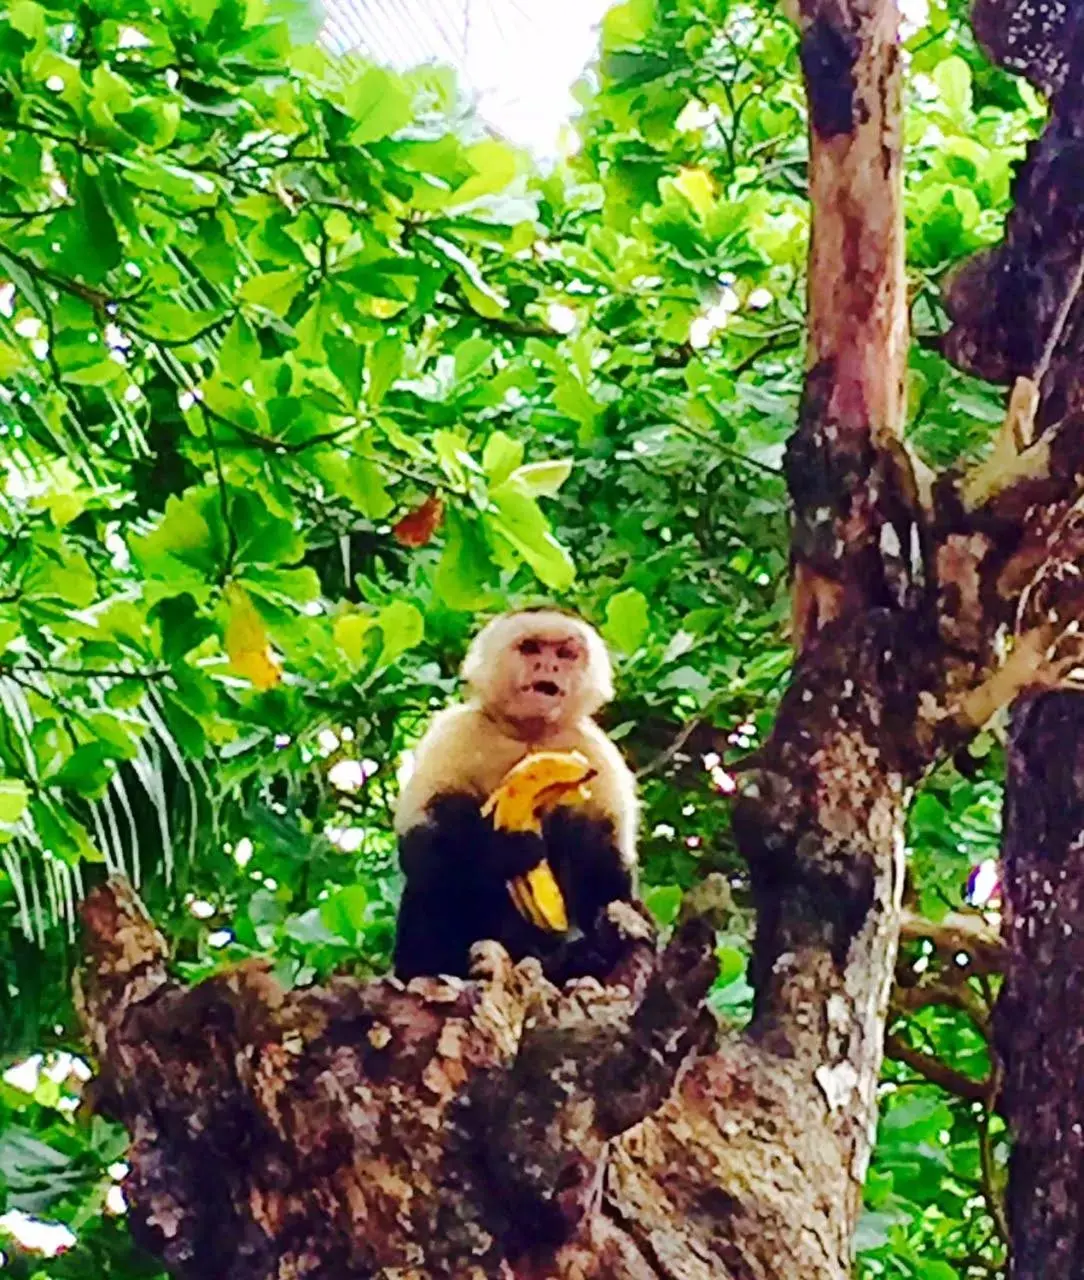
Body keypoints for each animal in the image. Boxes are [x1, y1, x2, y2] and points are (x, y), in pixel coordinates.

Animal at [394, 606, 639, 977]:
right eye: (531, 648)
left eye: (565, 654)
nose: (548, 667)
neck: (529, 734)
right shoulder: (456, 731)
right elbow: (420, 842)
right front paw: (506, 850)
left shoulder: (594, 751)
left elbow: (606, 857)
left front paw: (606, 931)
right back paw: (429, 964)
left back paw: (582, 955)